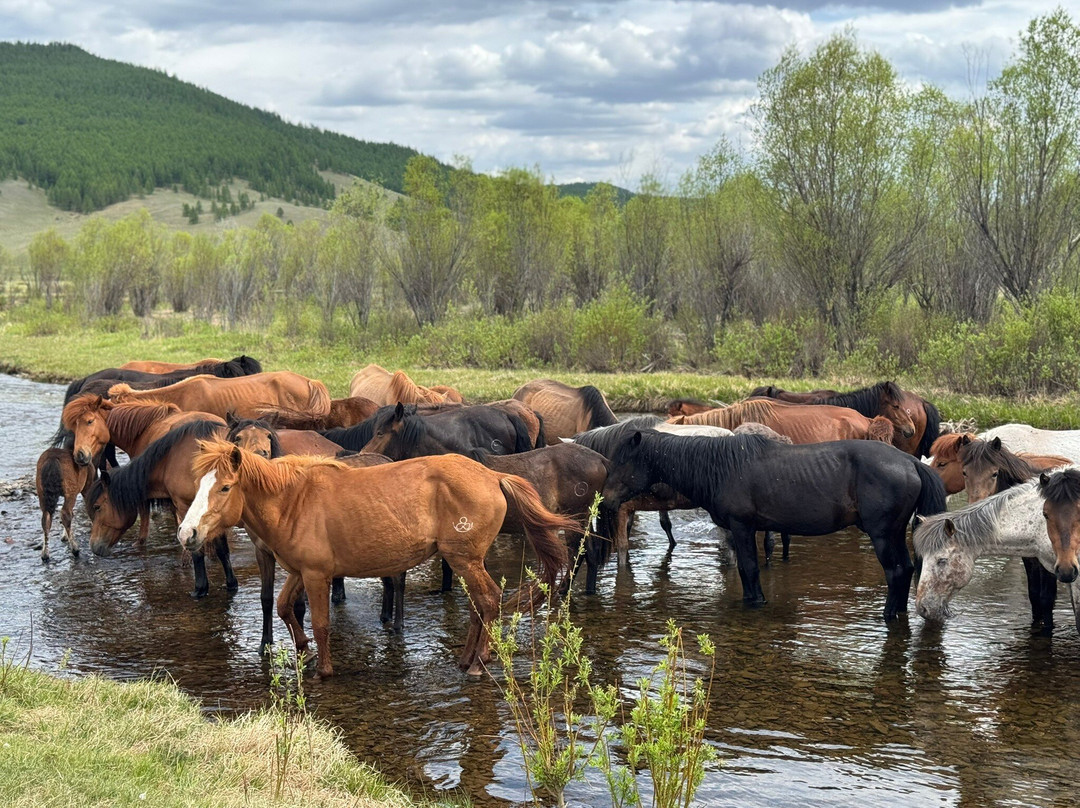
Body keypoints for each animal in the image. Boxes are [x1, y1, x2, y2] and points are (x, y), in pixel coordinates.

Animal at [85, 419, 237, 598]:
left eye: (97, 507)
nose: (94, 547)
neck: (174, 460)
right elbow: (222, 550)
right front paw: (231, 584)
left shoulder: (188, 509)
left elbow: (197, 552)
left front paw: (200, 589)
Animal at [177, 439, 574, 677]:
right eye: (200, 485)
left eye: (225, 487)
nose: (186, 534)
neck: (294, 501)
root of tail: (492, 475)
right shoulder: (299, 572)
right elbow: (284, 607)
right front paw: (304, 650)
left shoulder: (317, 575)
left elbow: (321, 622)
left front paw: (323, 669)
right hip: (466, 562)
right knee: (480, 605)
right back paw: (466, 659)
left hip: (464, 559)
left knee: (490, 600)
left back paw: (477, 663)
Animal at [600, 431, 946, 620]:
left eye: (622, 462)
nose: (605, 501)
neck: (722, 467)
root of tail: (910, 462)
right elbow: (744, 570)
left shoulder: (742, 527)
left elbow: (750, 569)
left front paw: (756, 603)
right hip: (895, 533)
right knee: (906, 569)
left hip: (882, 534)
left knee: (896, 572)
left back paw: (887, 615)